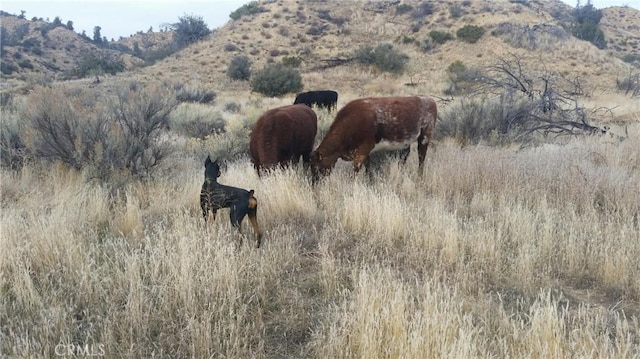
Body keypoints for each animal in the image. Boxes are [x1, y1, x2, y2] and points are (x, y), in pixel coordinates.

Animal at [308, 96, 436, 179]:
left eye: (316, 167)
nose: (315, 183)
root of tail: (428, 99)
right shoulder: (366, 153)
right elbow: (368, 169)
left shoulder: (363, 150)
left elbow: (355, 170)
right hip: (406, 143)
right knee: (404, 157)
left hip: (425, 137)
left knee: (421, 157)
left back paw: (419, 177)